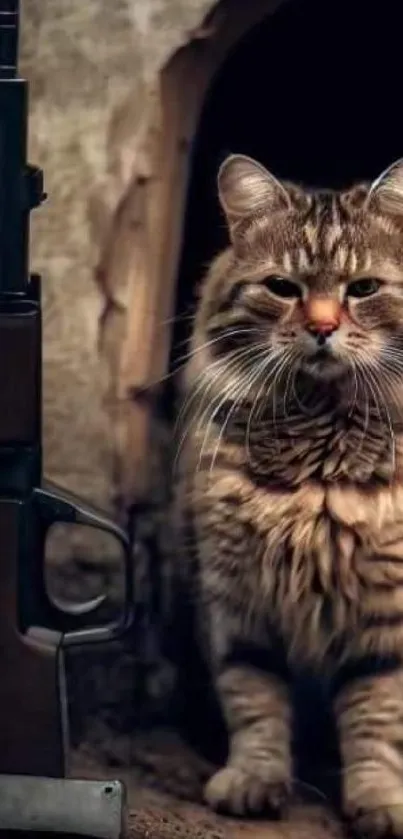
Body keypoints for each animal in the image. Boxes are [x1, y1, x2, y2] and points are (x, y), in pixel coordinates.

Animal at [173, 153, 403, 839]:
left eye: (363, 289)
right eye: (283, 287)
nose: (323, 327)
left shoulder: (386, 621)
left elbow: (377, 721)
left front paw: (380, 803)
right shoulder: (235, 601)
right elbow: (255, 703)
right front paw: (254, 781)